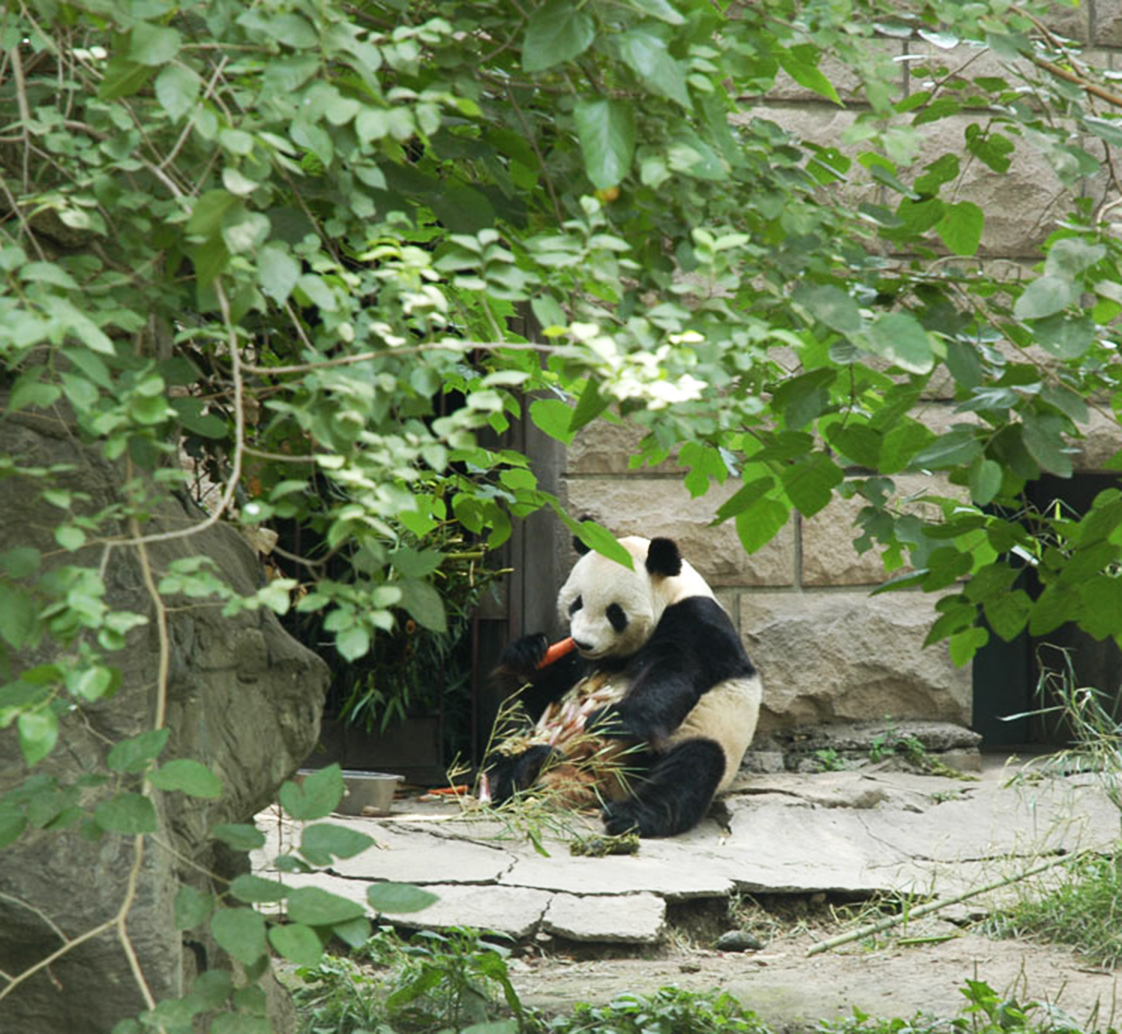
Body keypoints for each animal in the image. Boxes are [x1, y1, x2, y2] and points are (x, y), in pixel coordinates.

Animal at [481, 534, 761, 838]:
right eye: (576, 603)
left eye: (615, 612)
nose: (583, 642)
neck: (674, 594)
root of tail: (602, 781)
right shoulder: (586, 662)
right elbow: (546, 692)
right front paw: (526, 653)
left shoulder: (698, 624)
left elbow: (673, 675)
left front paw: (609, 720)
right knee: (499, 757)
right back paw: (522, 772)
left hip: (696, 737)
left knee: (691, 768)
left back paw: (628, 816)